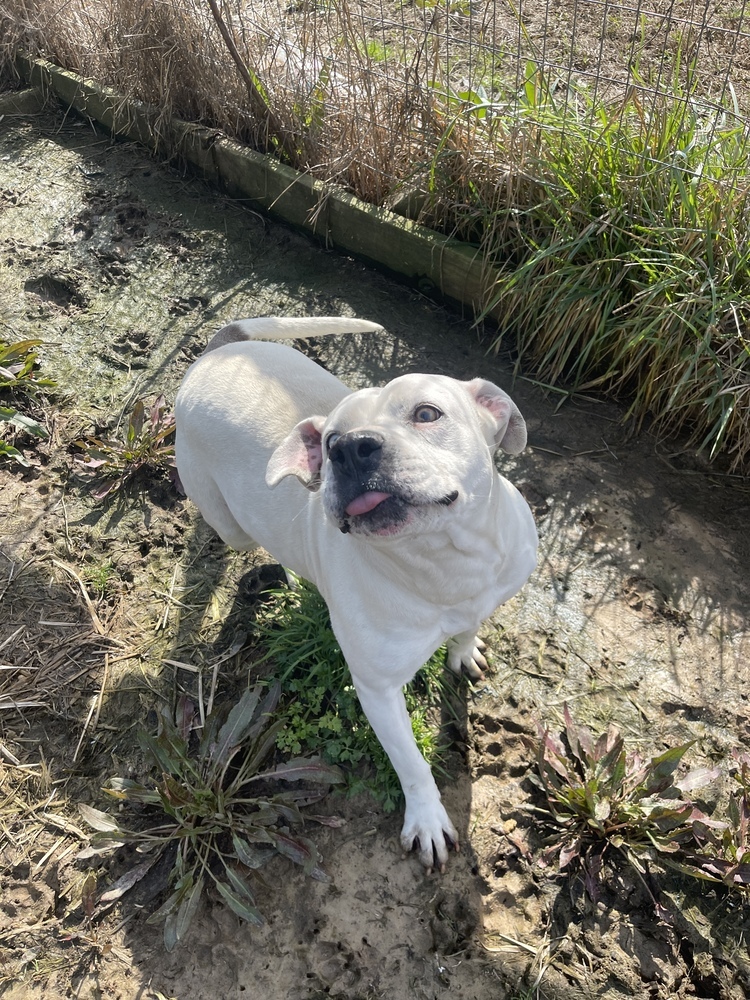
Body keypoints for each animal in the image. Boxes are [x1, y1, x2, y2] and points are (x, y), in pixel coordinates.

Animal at [176, 316, 540, 872]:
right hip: (228, 521)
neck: (445, 562)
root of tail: (218, 351)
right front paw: (427, 818)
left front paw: (464, 649)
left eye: (427, 413)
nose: (348, 447)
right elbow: (411, 761)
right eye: (328, 442)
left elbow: (469, 627)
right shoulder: (378, 691)